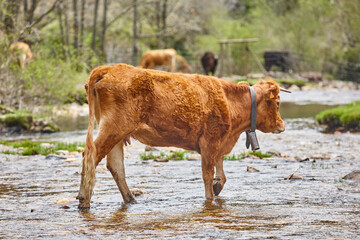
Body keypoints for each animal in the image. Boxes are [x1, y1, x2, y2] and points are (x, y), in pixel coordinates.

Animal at [77, 63, 288, 208]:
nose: (282, 125)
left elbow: (221, 173)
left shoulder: (220, 142)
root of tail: (107, 68)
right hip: (114, 127)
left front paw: (218, 186)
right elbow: (207, 175)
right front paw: (210, 199)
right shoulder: (210, 142)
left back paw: (130, 200)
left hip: (118, 134)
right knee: (91, 156)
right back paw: (84, 200)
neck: (230, 102)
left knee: (115, 166)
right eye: (277, 103)